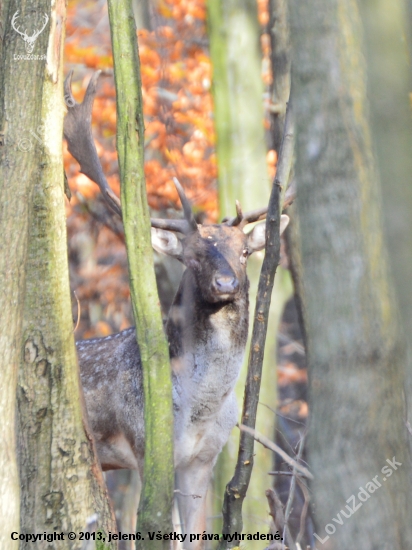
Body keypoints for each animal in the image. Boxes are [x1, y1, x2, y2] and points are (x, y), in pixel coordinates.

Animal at [64, 72, 290, 548]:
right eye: (194, 256)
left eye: (244, 252)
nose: (226, 283)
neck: (199, 407)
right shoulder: (146, 447)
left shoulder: (203, 459)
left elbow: (196, 533)